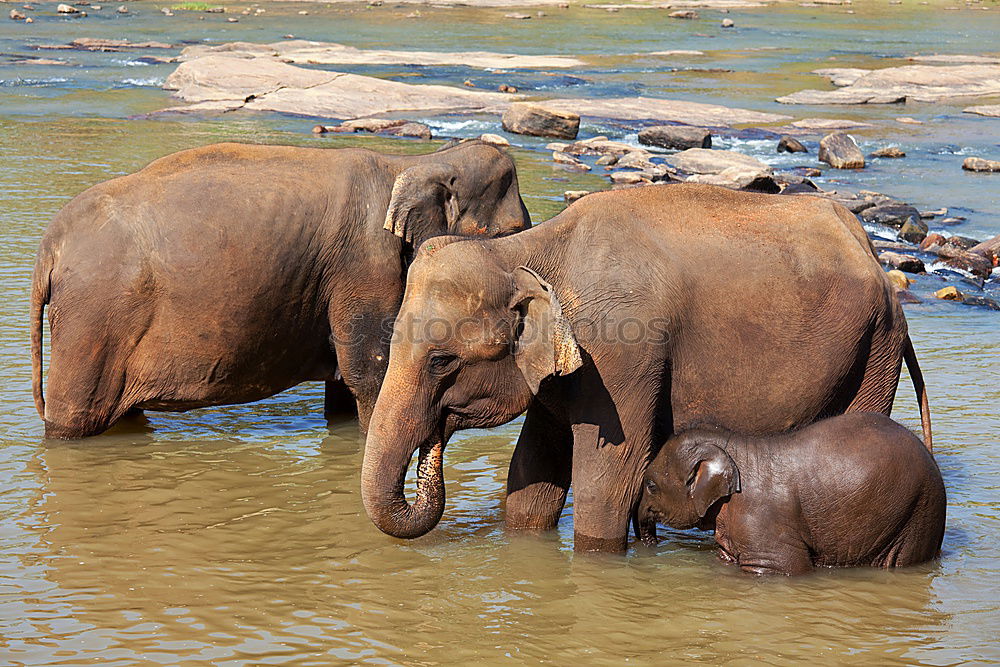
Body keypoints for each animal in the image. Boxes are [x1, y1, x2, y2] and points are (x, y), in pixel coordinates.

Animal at [31, 139, 532, 440]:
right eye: (509, 233)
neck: (412, 162)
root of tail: (50, 244)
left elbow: (345, 385)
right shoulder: (365, 262)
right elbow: (371, 371)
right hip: (93, 315)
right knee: (75, 418)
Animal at [360, 181, 928, 552]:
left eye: (441, 361)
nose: (433, 446)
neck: (527, 250)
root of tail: (868, 247)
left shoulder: (622, 355)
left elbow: (608, 480)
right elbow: (534, 475)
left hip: (875, 346)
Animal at [632, 412, 944, 576]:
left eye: (650, 485)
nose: (651, 543)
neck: (732, 446)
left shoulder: (760, 523)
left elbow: (786, 566)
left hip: (919, 512)